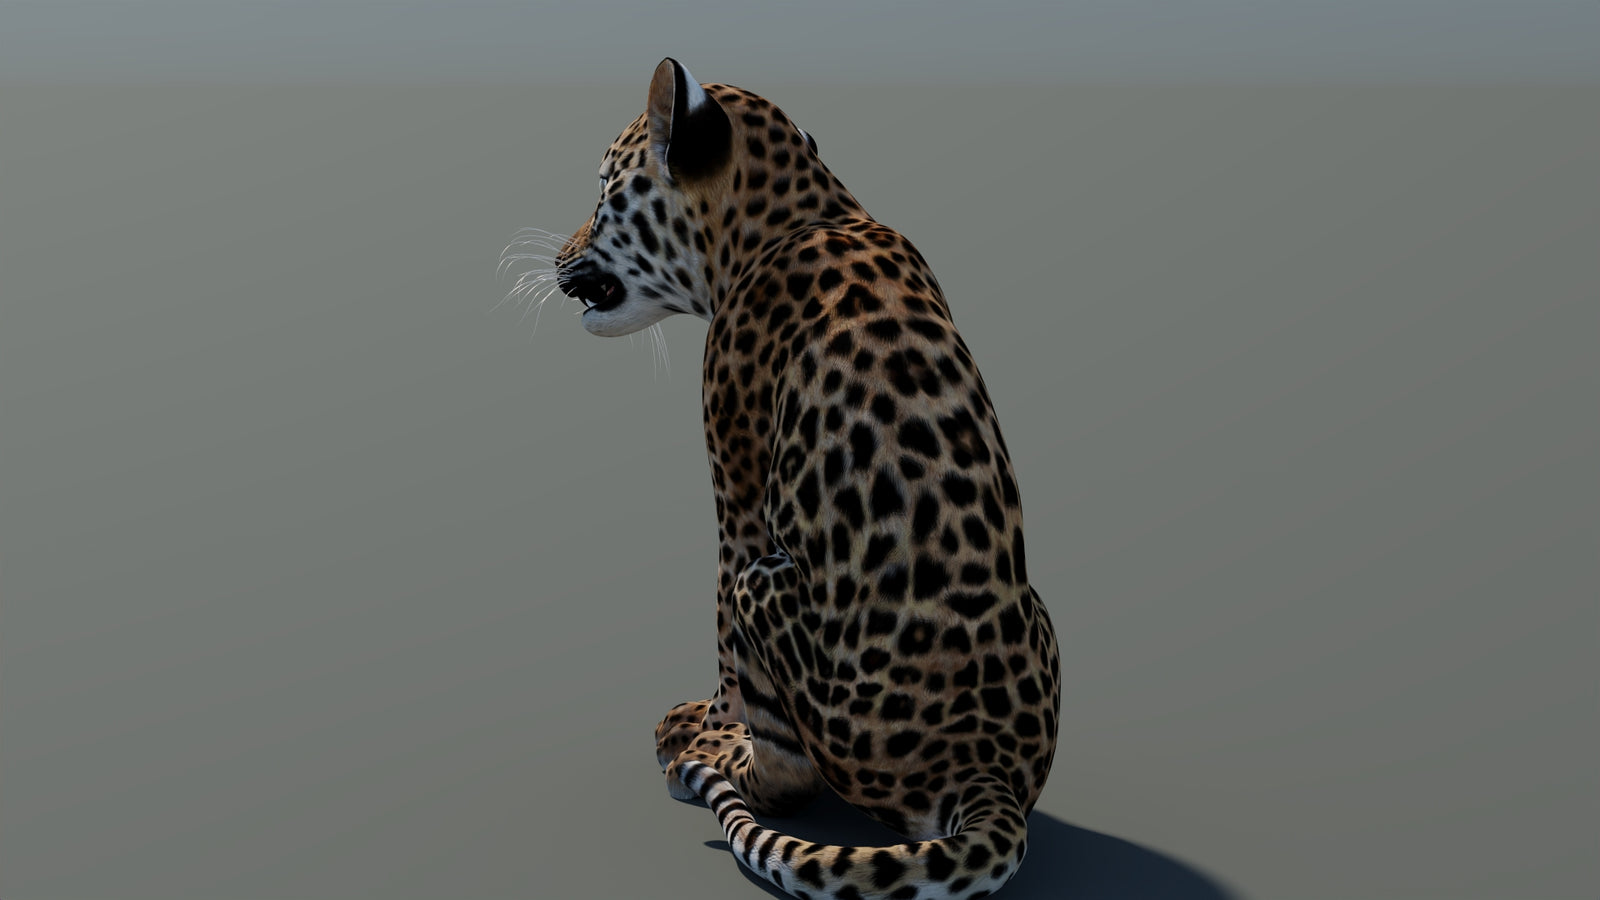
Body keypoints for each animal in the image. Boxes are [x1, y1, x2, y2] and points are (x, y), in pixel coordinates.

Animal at [549, 59, 1061, 900]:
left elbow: (725, 638)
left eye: (602, 194)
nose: (561, 254)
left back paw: (722, 762)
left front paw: (713, 725)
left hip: (771, 585)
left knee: (789, 768)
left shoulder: (738, 485)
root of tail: (985, 766)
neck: (796, 212)